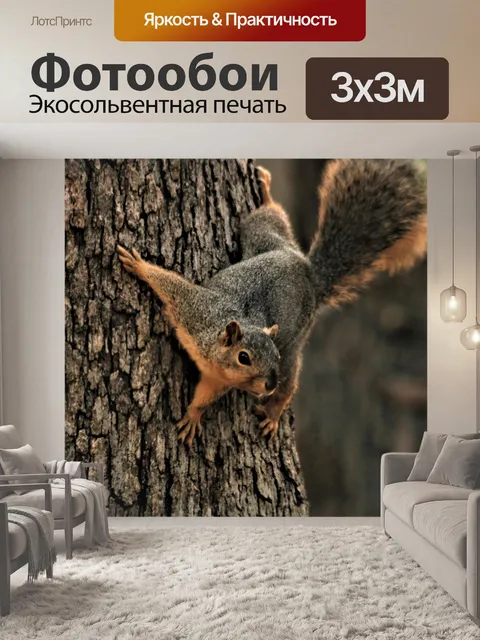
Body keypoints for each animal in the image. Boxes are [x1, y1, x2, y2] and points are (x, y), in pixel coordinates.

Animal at [117, 160, 427, 446]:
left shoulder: (219, 371)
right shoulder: (194, 309)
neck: (213, 352)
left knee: (290, 383)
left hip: (294, 338)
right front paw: (140, 266)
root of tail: (308, 273)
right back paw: (265, 193)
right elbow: (168, 282)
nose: (268, 385)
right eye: (244, 357)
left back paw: (274, 411)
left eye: (273, 356)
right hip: (264, 238)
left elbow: (206, 396)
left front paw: (194, 415)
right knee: (269, 218)